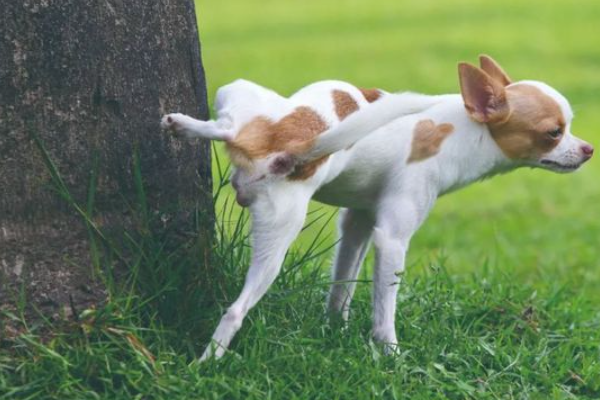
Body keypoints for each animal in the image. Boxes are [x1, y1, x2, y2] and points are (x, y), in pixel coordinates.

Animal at [161, 55, 596, 360]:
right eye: (553, 133)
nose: (588, 149)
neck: (464, 129)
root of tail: (290, 146)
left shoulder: (358, 223)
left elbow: (342, 286)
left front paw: (334, 330)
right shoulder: (391, 239)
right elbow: (384, 311)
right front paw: (390, 356)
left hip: (246, 115)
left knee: (228, 127)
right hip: (282, 214)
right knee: (235, 310)